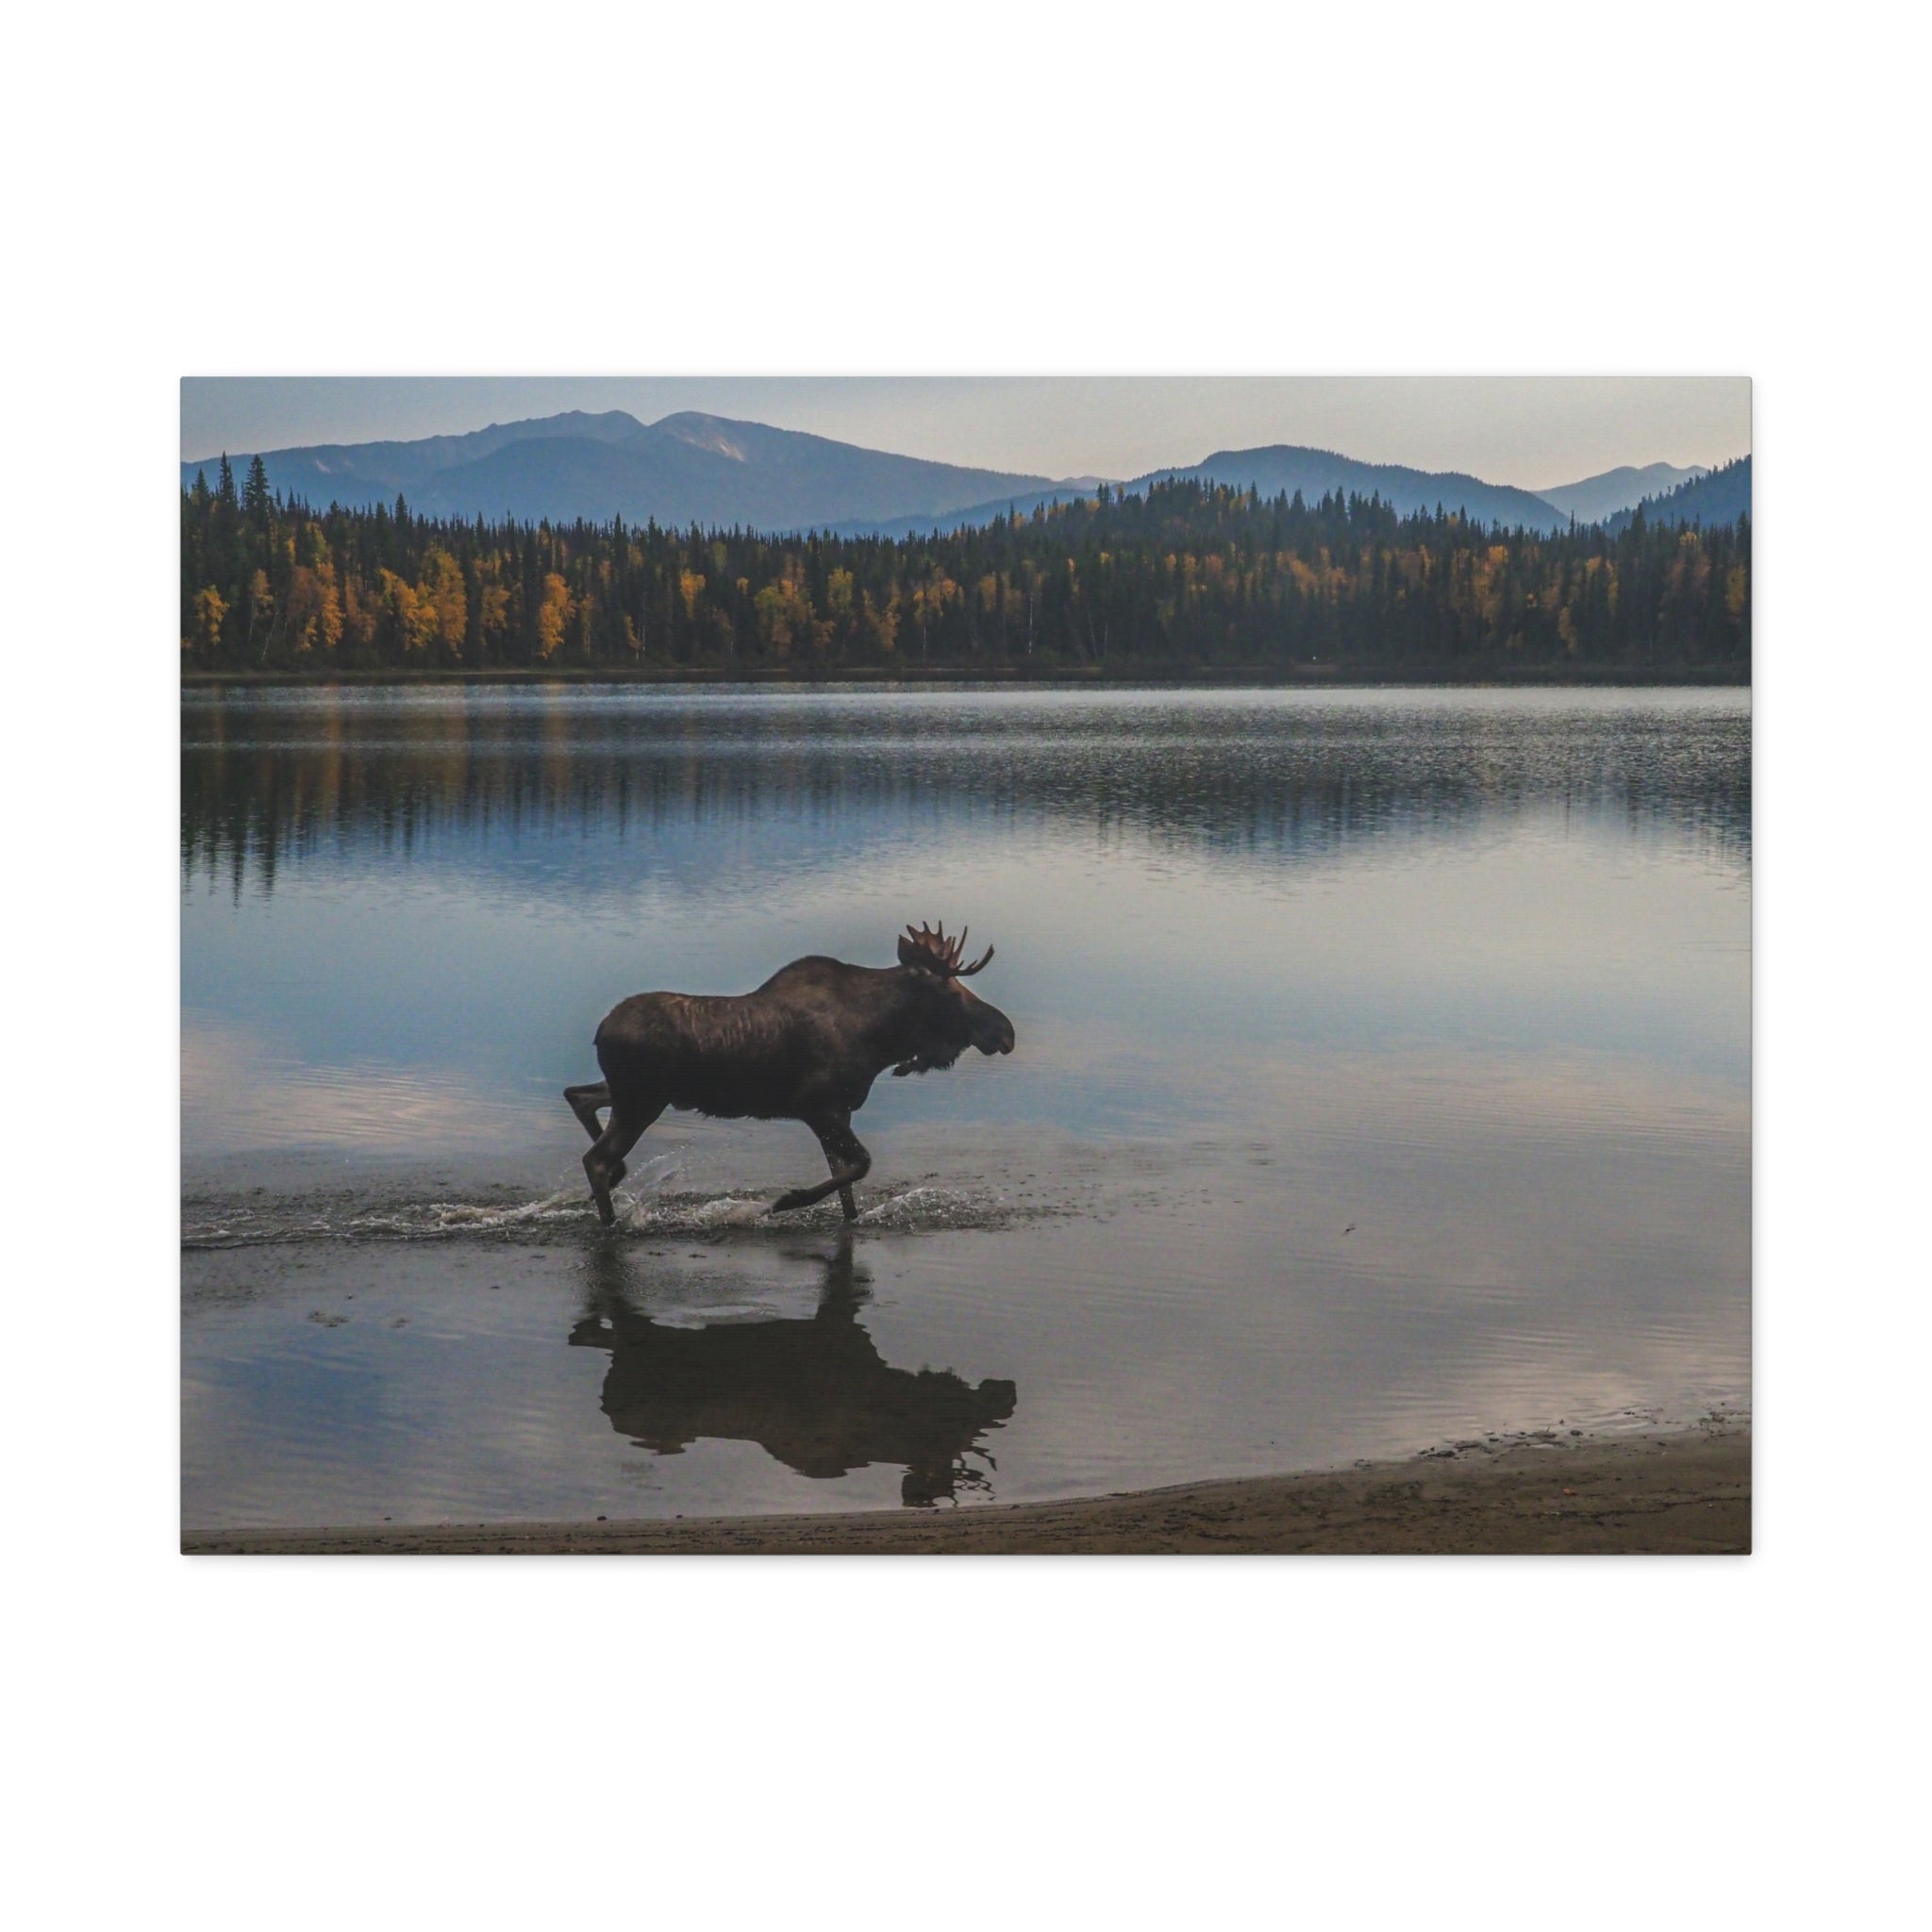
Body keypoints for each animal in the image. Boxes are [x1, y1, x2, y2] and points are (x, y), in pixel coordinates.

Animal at [564, 921, 1016, 1227]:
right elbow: (861, 1165)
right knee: (595, 1158)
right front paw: (786, 1201)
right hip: (641, 1100)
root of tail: (599, 1032)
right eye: (951, 991)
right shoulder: (817, 1106)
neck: (880, 1040)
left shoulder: (840, 1112)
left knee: (578, 1096)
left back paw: (619, 1178)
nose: (1005, 1032)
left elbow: (847, 1186)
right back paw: (610, 1219)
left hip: (634, 1094)